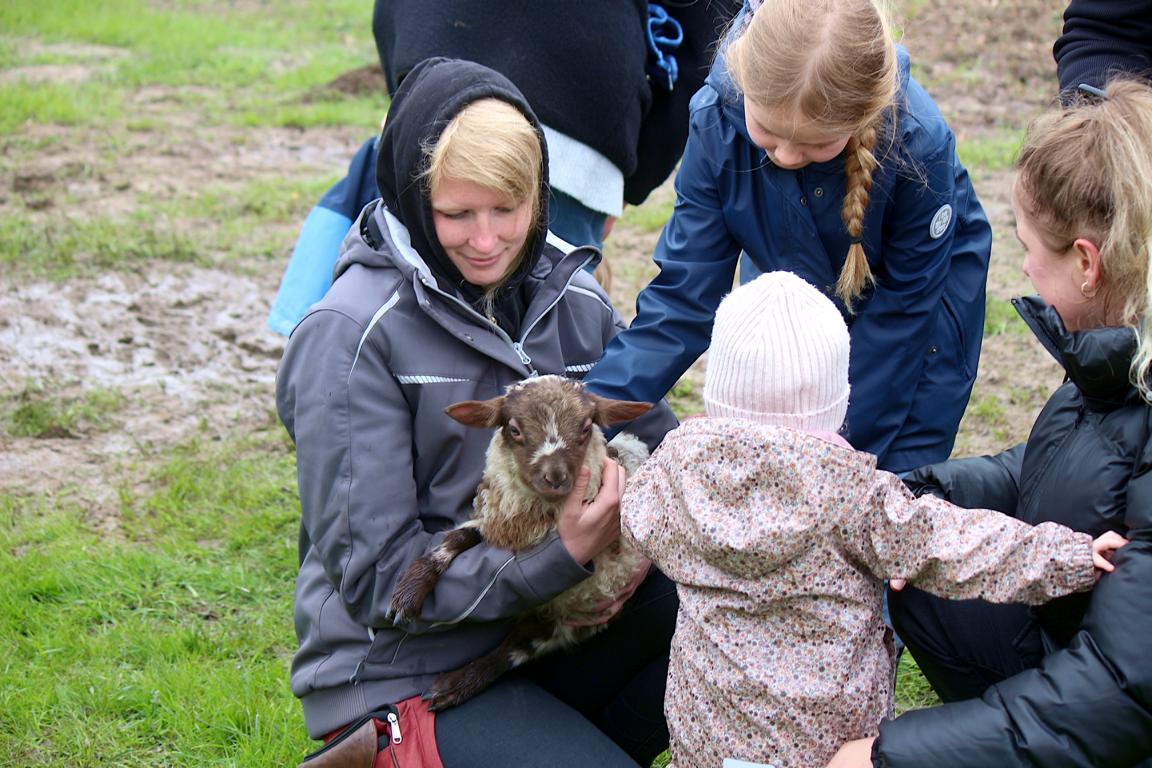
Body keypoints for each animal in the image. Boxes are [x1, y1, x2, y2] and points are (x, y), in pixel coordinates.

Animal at [389, 375, 654, 713]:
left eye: (585, 428)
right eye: (514, 429)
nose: (555, 477)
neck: (530, 525)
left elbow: (515, 649)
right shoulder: (493, 521)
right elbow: (455, 538)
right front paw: (409, 593)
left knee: (515, 647)